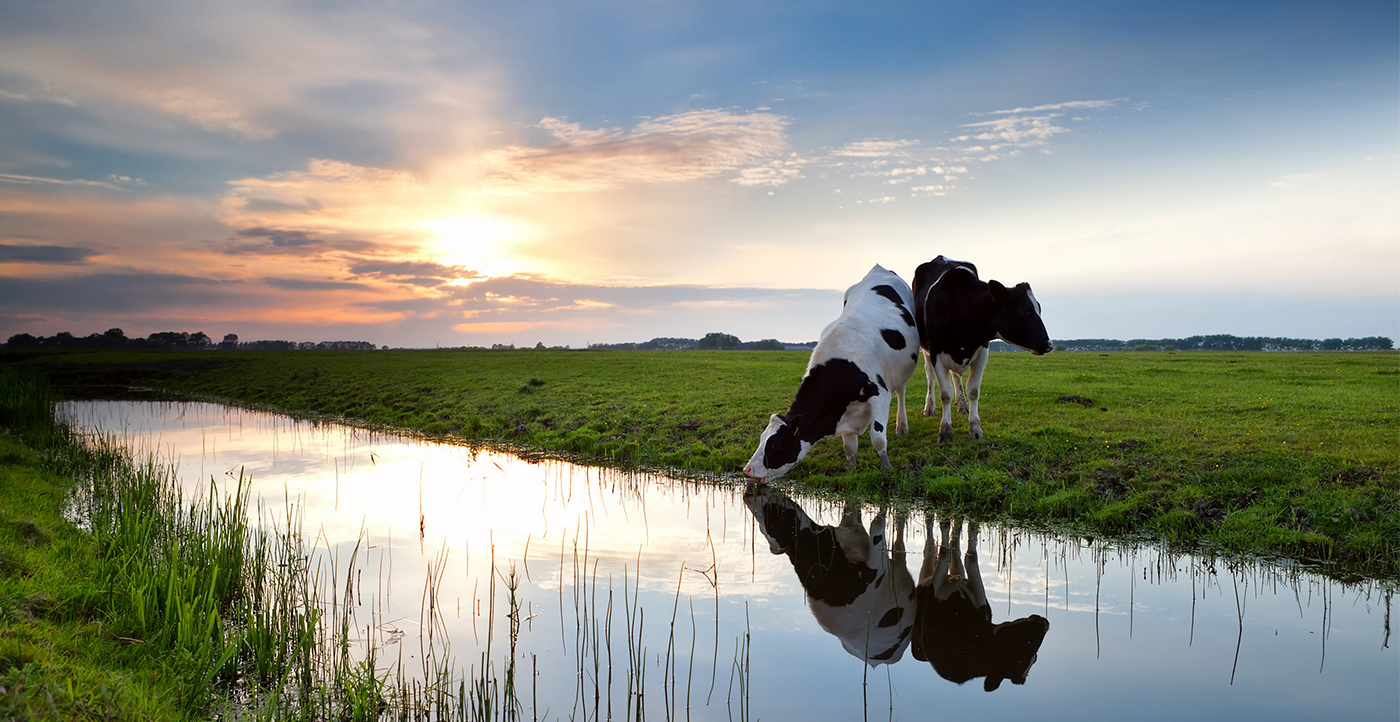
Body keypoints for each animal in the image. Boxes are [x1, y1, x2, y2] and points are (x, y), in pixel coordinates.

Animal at [744, 263, 918, 478]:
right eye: (761, 439)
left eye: (775, 445)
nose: (747, 470)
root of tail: (878, 269)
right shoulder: (844, 413)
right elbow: (849, 446)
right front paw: (851, 468)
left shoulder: (880, 394)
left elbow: (877, 437)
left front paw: (886, 467)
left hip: (902, 370)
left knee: (901, 391)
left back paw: (902, 427)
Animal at [907, 256, 1052, 442]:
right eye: (1026, 310)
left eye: (1039, 308)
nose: (1049, 344)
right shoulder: (936, 353)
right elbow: (945, 394)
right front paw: (945, 429)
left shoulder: (982, 352)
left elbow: (973, 391)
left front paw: (975, 428)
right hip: (926, 350)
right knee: (930, 375)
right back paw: (929, 408)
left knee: (956, 376)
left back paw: (962, 405)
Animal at [907, 514, 1052, 691]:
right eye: (1024, 649)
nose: (1045, 623)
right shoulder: (934, 589)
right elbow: (947, 551)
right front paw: (946, 524)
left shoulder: (978, 598)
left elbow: (969, 555)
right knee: (930, 546)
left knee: (955, 550)